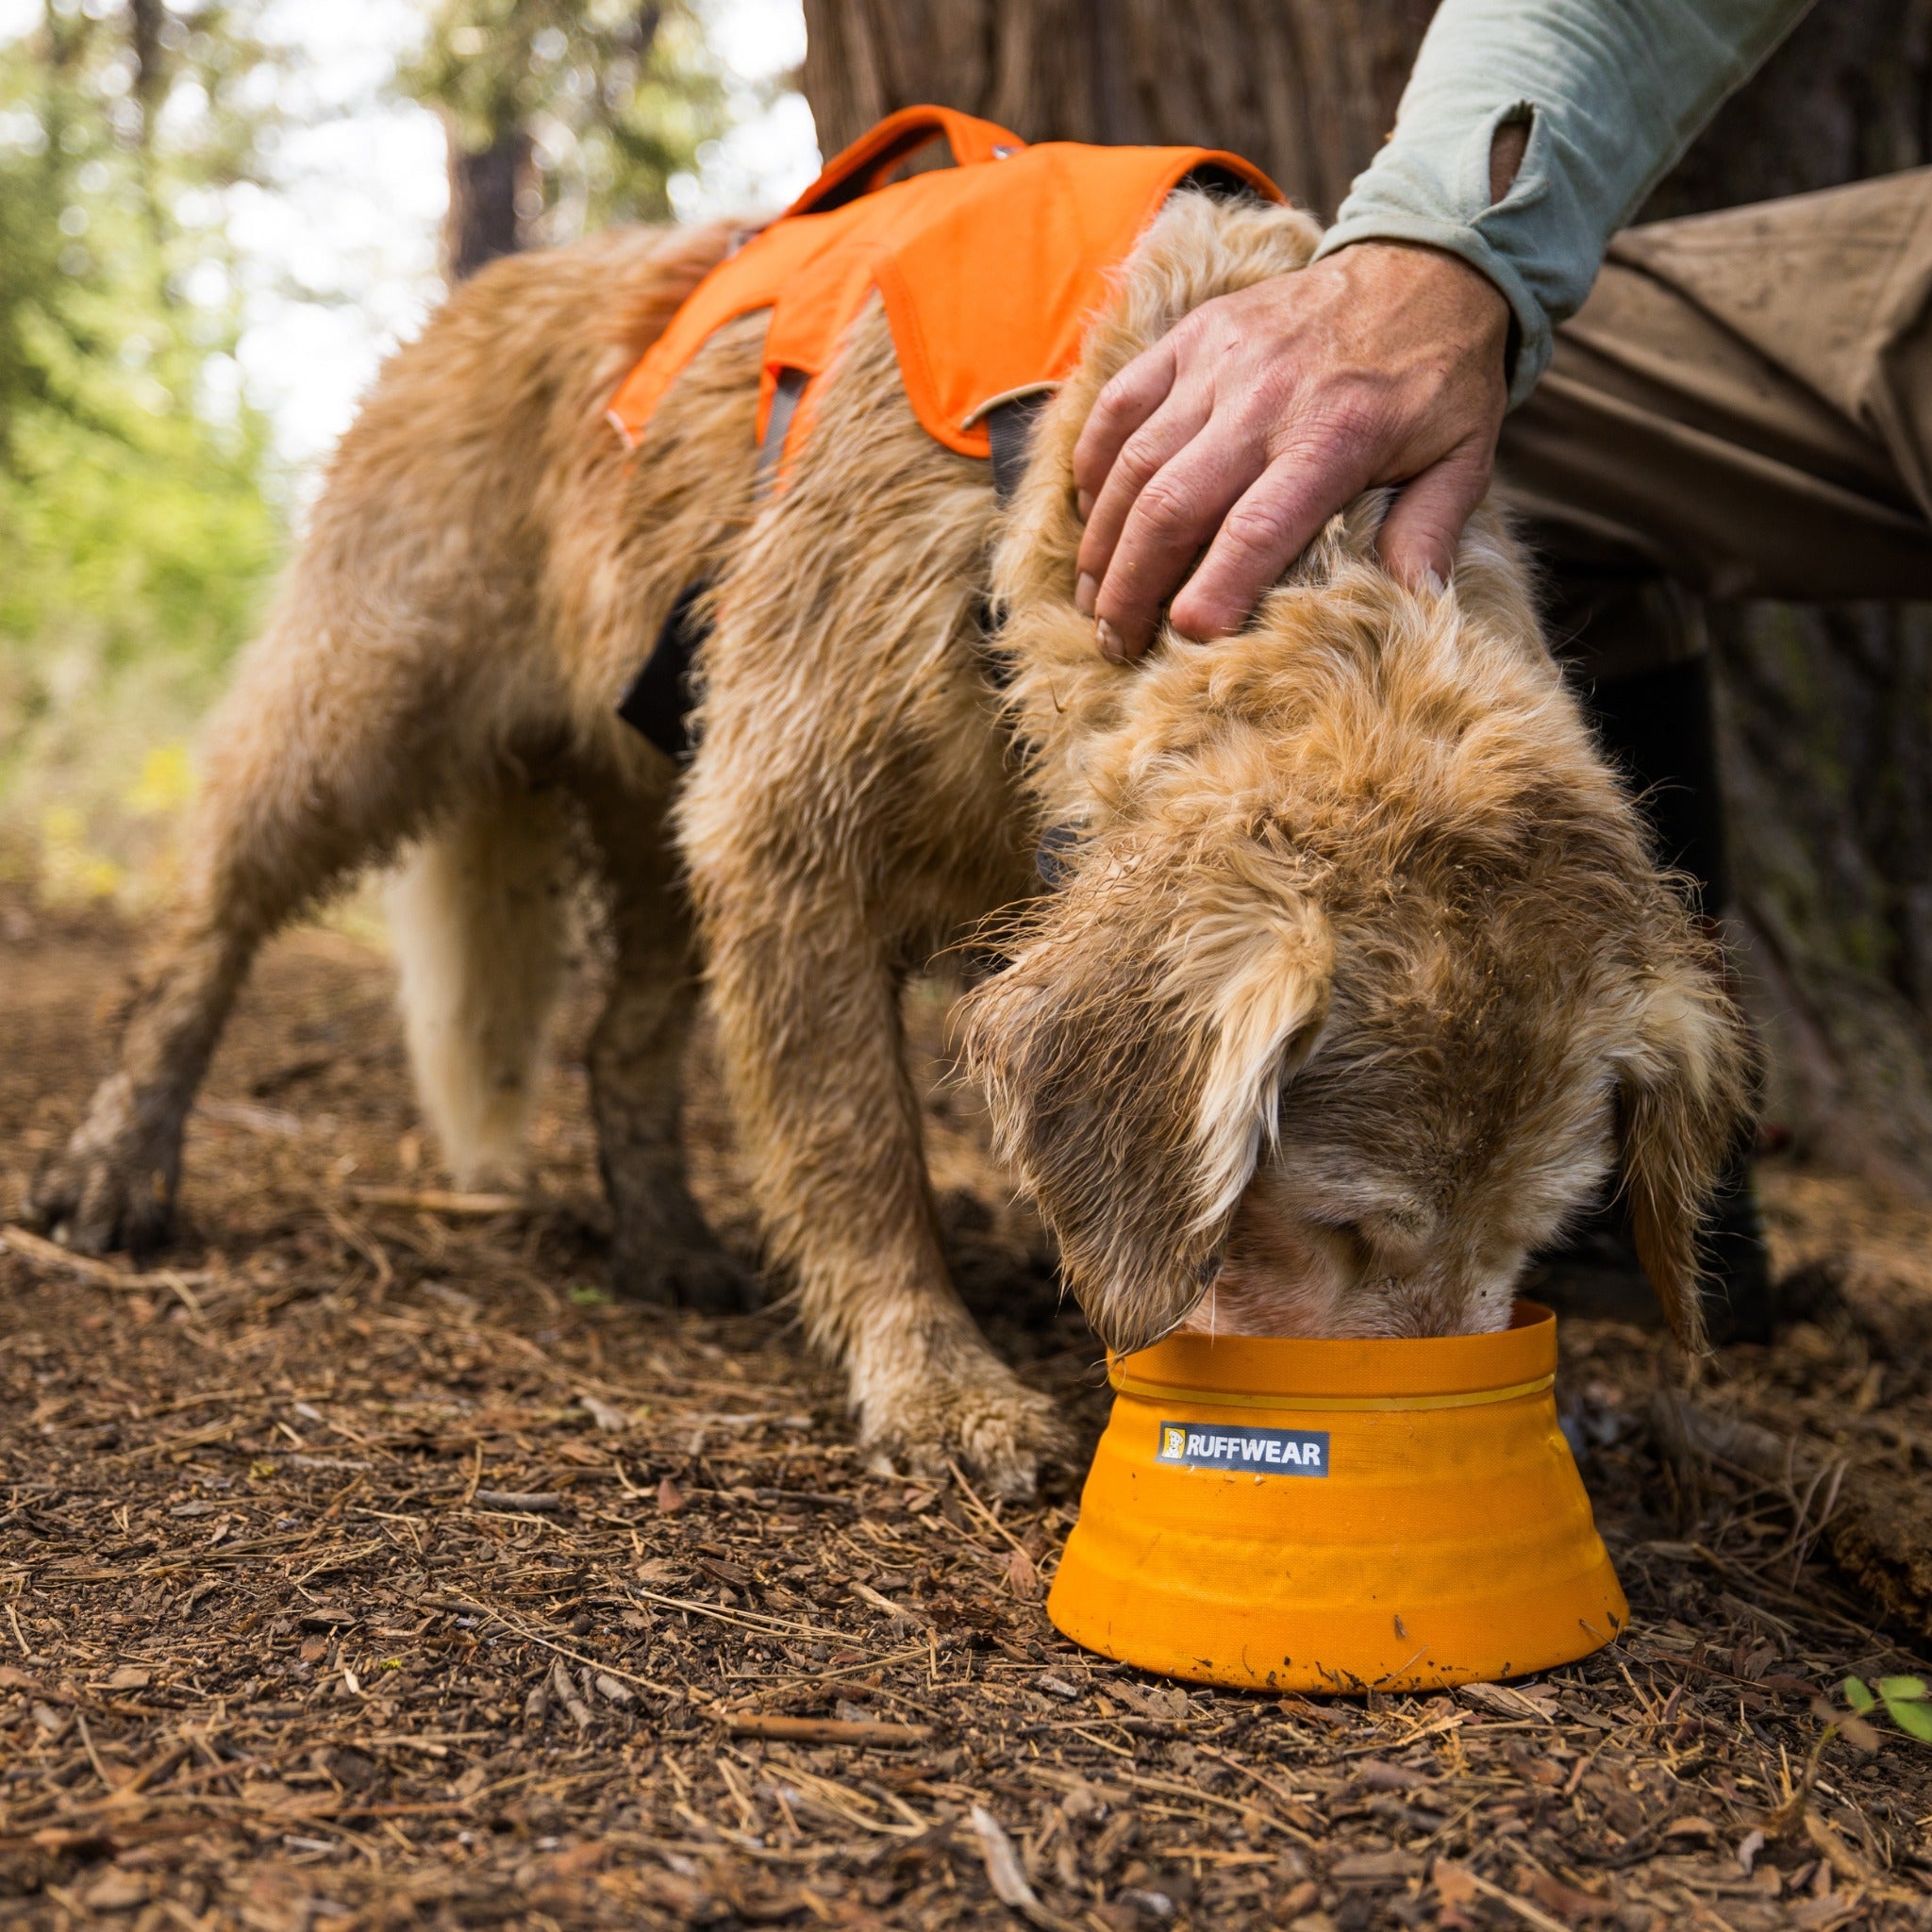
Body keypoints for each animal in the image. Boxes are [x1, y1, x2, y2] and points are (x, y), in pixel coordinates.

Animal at [30, 192, 1754, 1491]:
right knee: (202, 929)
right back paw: (112, 1163)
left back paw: (664, 1241)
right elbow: (860, 1152)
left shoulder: (768, 840)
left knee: (621, 1042)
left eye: (1537, 1240)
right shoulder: (788, 838)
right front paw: (937, 1384)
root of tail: (493, 279)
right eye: (1343, 1228)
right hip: (369, 709)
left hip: (663, 822)